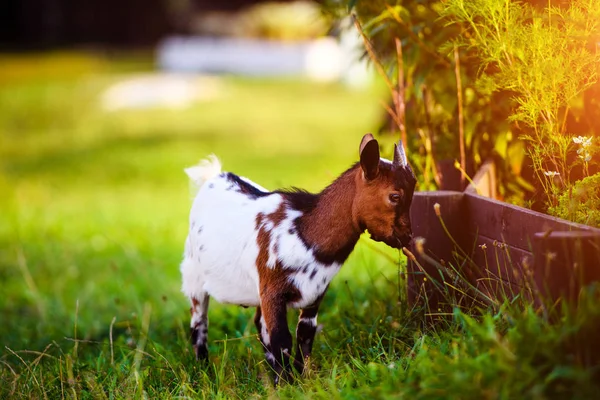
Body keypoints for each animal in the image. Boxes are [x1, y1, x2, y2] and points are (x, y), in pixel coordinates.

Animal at [182, 134, 418, 384]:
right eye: (394, 196)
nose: (406, 237)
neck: (305, 231)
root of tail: (212, 177)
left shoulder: (316, 292)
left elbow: (304, 334)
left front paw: (303, 379)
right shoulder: (273, 291)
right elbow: (281, 338)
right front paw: (286, 384)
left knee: (259, 323)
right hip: (194, 277)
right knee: (199, 323)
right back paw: (203, 371)